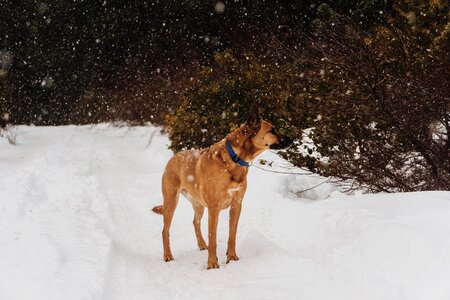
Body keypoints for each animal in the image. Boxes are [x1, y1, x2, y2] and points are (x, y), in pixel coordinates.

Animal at [153, 115, 290, 270]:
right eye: (272, 130)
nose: (291, 140)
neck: (235, 158)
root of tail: (173, 157)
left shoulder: (236, 205)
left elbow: (232, 235)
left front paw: (232, 257)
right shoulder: (214, 209)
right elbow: (213, 238)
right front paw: (212, 264)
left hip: (199, 205)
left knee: (195, 222)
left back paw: (202, 244)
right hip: (171, 202)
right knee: (165, 231)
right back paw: (168, 256)